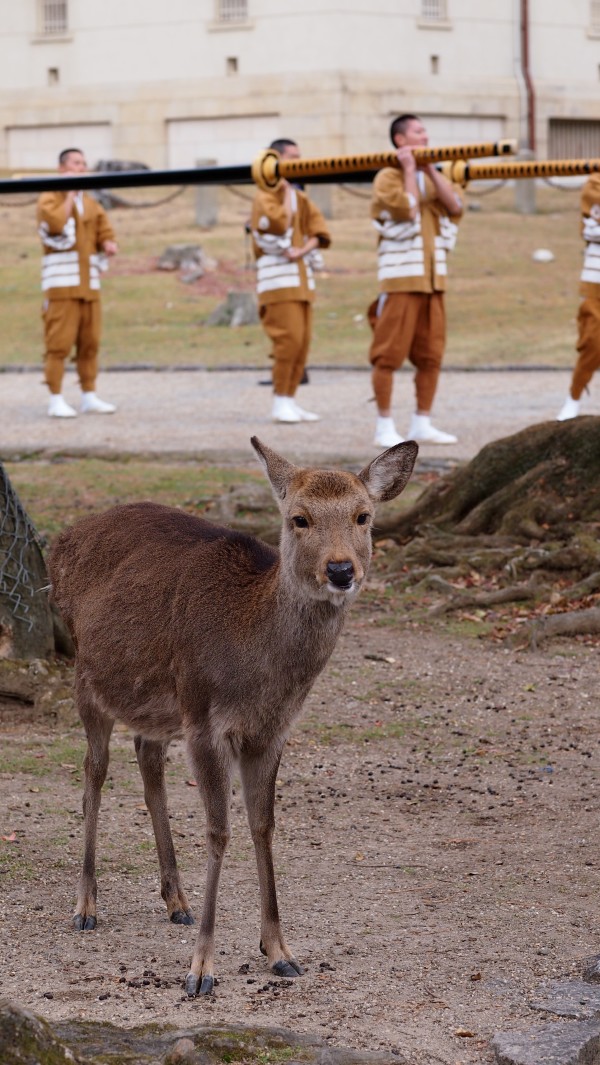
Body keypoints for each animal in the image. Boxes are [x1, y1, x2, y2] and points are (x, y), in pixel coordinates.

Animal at [48, 434, 417, 996]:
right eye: (299, 518)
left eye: (364, 516)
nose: (340, 570)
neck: (257, 674)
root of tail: (58, 541)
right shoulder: (206, 720)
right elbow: (218, 832)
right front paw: (200, 969)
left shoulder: (271, 731)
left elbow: (263, 825)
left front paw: (280, 952)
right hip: (88, 677)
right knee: (94, 771)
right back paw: (86, 905)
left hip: (159, 703)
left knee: (146, 758)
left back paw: (175, 899)